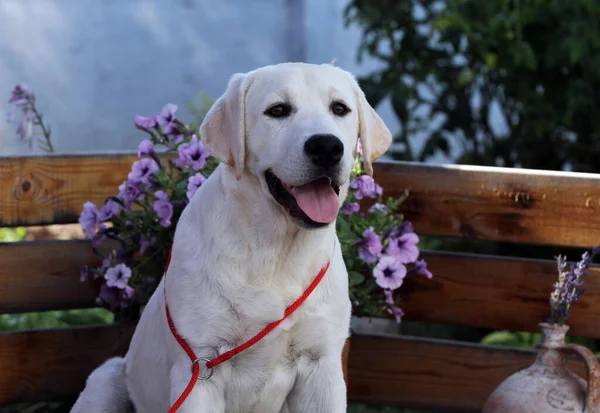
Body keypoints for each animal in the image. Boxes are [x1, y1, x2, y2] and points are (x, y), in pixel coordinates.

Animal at [69, 62, 394, 412]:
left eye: (340, 108)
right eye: (278, 110)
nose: (327, 147)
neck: (275, 251)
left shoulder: (322, 367)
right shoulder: (199, 368)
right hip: (108, 378)